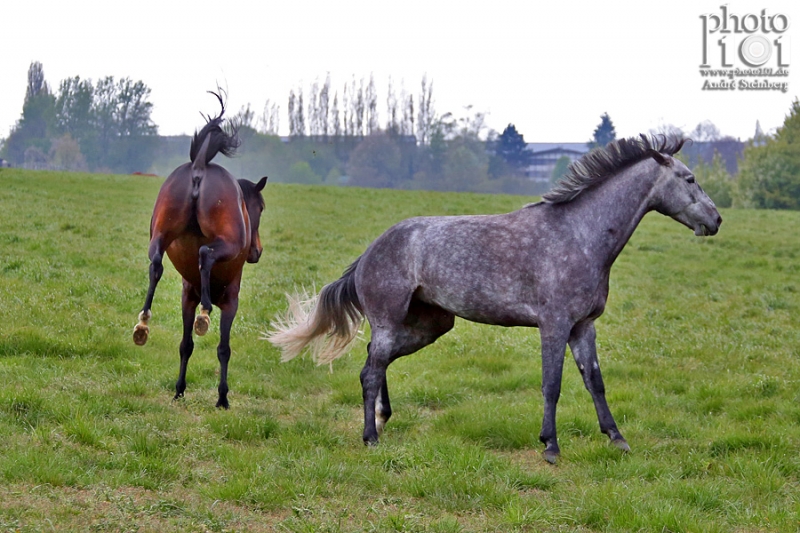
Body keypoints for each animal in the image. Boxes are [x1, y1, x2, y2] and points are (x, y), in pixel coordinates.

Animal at [133, 92, 268, 408]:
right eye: (260, 208)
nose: (256, 251)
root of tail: (199, 167)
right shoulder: (231, 302)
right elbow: (223, 348)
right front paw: (222, 397)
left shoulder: (186, 298)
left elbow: (185, 345)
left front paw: (179, 389)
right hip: (228, 244)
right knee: (205, 254)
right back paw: (204, 313)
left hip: (160, 234)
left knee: (156, 264)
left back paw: (143, 321)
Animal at [270, 134, 724, 462]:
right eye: (689, 179)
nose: (716, 219)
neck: (579, 235)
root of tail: (368, 253)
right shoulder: (554, 326)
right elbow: (552, 384)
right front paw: (550, 446)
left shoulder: (583, 327)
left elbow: (595, 382)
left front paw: (617, 439)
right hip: (390, 321)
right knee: (369, 371)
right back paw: (370, 437)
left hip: (427, 326)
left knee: (374, 363)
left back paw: (383, 421)